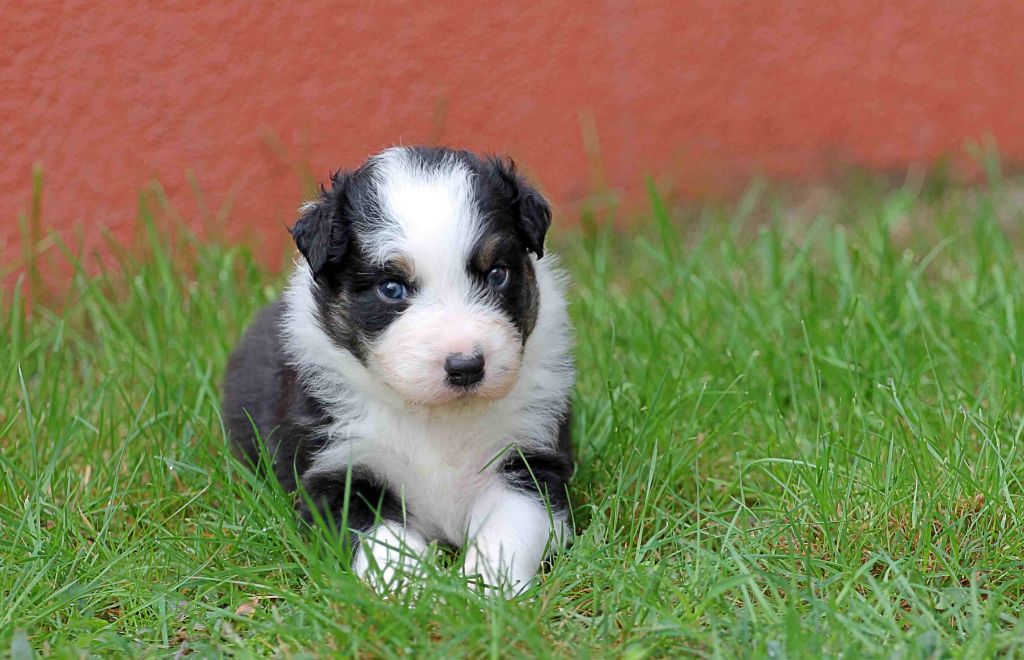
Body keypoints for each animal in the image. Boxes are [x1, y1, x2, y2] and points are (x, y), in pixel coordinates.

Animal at [223, 146, 573, 593]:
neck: (435, 417)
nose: (466, 366)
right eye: (391, 288)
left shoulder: (529, 457)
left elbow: (508, 530)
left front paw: (485, 592)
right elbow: (387, 545)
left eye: (497, 274)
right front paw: (418, 595)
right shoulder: (339, 473)